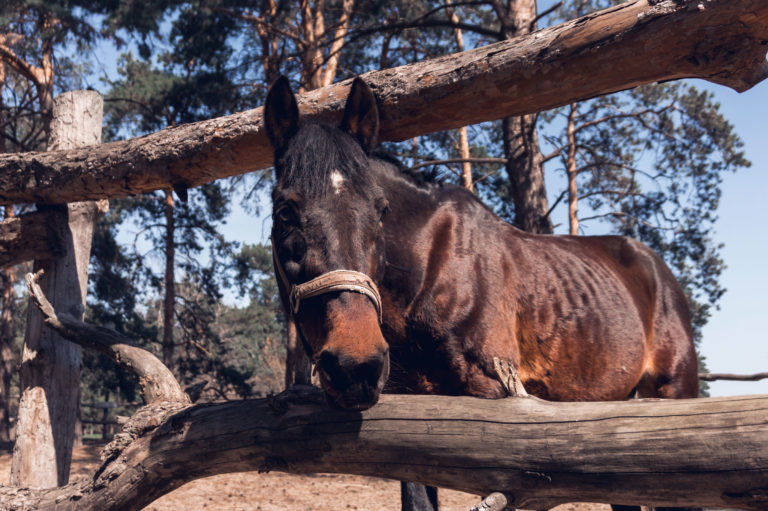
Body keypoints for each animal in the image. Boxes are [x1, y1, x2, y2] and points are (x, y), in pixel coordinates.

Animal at [264, 76, 699, 510]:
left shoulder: (495, 410)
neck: (432, 272)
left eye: (381, 210)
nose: (355, 365)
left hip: (673, 391)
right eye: (284, 212)